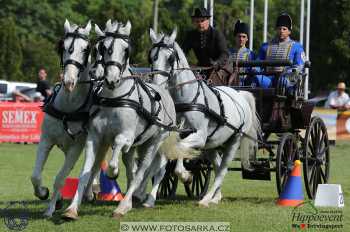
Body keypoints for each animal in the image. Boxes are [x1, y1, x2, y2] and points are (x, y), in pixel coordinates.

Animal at [30, 20, 96, 218]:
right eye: (63, 47)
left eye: (85, 49)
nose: (68, 81)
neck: (68, 106)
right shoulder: (46, 140)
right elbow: (35, 175)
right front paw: (44, 194)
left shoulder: (77, 147)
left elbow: (60, 178)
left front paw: (51, 207)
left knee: (95, 166)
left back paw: (90, 191)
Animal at [63, 20, 176, 219]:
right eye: (101, 47)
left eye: (125, 50)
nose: (111, 79)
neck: (114, 98)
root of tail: (163, 90)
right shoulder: (94, 137)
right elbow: (86, 171)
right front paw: (72, 208)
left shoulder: (126, 137)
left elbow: (115, 155)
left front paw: (112, 174)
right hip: (139, 145)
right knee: (132, 168)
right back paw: (132, 200)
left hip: (155, 142)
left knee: (143, 171)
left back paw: (124, 205)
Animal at [148, 28, 260, 207]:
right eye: (151, 56)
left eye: (170, 58)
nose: (157, 86)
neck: (187, 99)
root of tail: (239, 93)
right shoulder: (176, 135)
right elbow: (170, 157)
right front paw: (152, 197)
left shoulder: (199, 137)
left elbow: (180, 151)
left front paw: (186, 176)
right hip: (213, 144)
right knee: (218, 165)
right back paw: (215, 197)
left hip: (234, 141)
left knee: (223, 170)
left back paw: (206, 199)